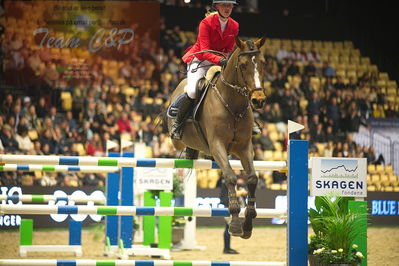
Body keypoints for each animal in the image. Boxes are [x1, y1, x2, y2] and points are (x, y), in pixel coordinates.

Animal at [164, 37, 268, 239]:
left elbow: (252, 178)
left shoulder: (244, 147)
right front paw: (235, 224)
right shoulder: (217, 145)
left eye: (262, 63)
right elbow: (230, 178)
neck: (233, 104)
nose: (258, 100)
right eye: (243, 65)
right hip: (177, 138)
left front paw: (248, 225)